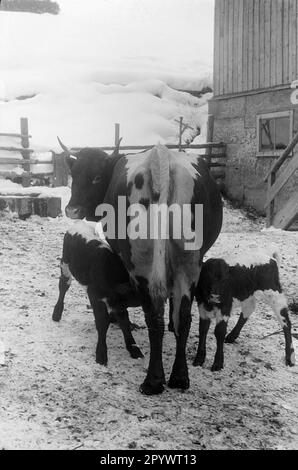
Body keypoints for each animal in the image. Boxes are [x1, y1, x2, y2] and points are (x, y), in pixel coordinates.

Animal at [52, 218, 143, 366]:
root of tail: (79, 223)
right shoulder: (95, 295)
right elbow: (102, 322)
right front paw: (101, 354)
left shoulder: (117, 302)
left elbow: (124, 322)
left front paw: (134, 349)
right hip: (65, 263)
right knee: (63, 286)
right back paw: (57, 313)